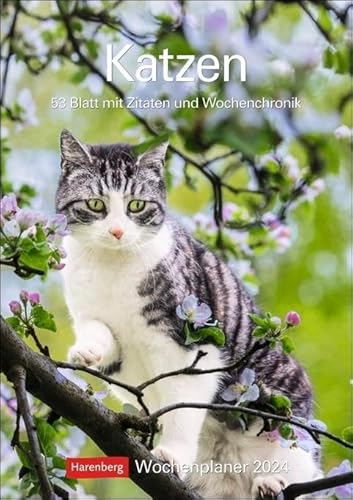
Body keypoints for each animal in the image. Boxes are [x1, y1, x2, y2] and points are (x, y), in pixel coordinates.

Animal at [55, 131, 322, 498]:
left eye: (136, 205)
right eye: (96, 204)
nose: (117, 232)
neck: (113, 265)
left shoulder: (191, 344)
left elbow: (183, 405)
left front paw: (172, 454)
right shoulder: (93, 319)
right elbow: (101, 334)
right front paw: (87, 350)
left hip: (287, 423)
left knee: (300, 463)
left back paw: (272, 482)